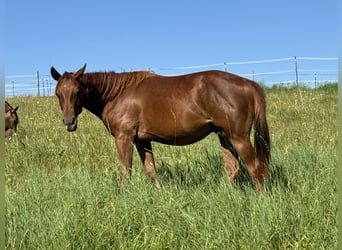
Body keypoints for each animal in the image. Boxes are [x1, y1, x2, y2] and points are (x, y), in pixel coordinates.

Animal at [51, 64, 270, 193]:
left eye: (78, 91)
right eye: (58, 93)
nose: (69, 121)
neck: (117, 94)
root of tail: (249, 84)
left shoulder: (124, 138)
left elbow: (125, 172)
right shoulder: (143, 140)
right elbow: (151, 170)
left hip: (238, 137)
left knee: (257, 169)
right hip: (224, 136)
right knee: (233, 169)